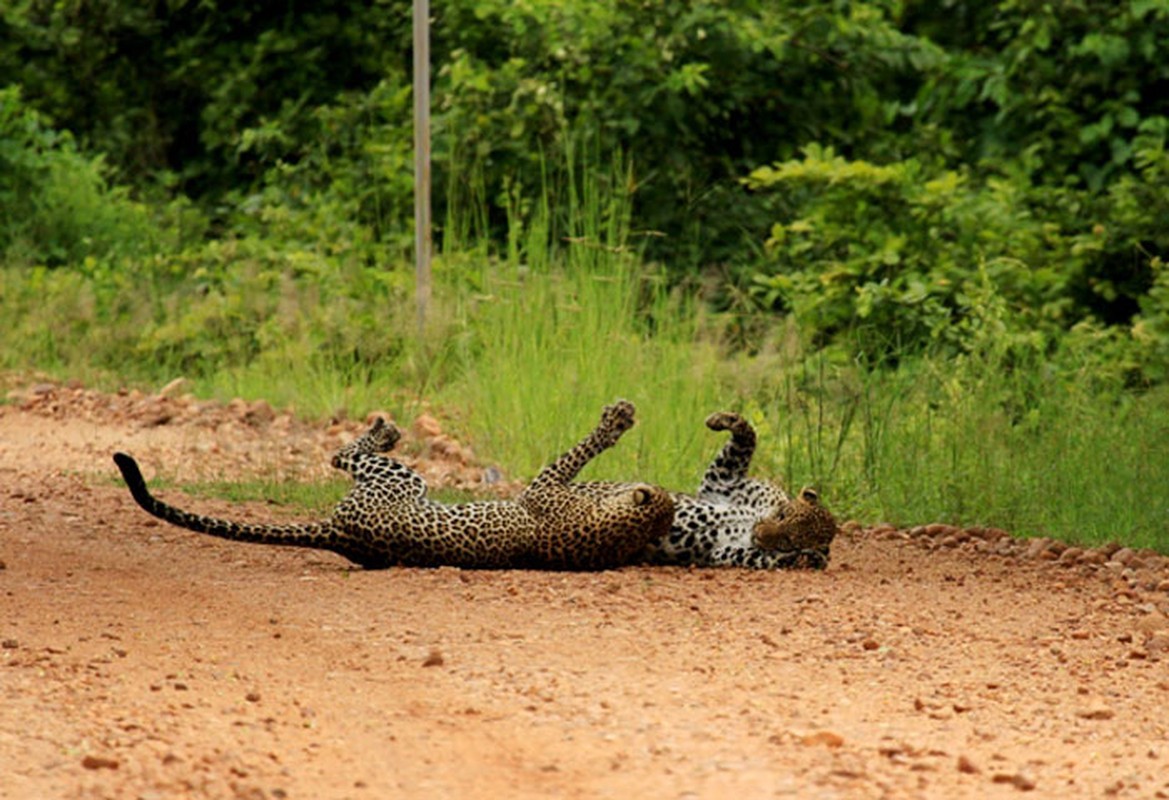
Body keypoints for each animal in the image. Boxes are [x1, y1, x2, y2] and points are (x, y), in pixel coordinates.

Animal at [113, 399, 678, 568]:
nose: (656, 488)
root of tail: (339, 534)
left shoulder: (545, 487)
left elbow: (581, 449)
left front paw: (616, 420)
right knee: (341, 455)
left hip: (398, 480)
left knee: (343, 455)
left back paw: (386, 430)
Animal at [572, 411, 832, 568]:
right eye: (782, 515)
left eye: (788, 541)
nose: (758, 533)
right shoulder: (721, 483)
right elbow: (747, 437)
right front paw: (722, 420)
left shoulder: (724, 552)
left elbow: (773, 559)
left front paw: (810, 557)